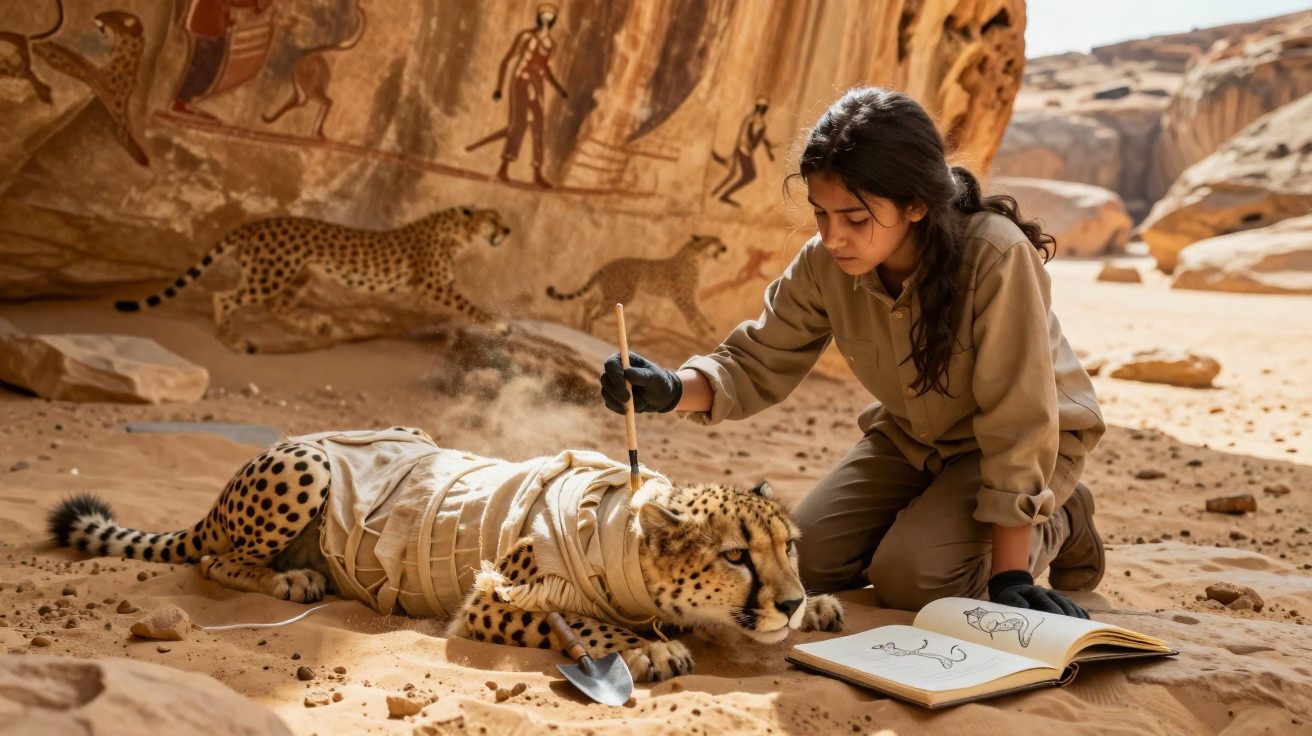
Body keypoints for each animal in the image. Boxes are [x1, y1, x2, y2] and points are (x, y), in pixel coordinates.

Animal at [32, 9, 148, 166]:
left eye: (111, 15)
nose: (95, 16)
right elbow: (74, 60)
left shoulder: (99, 77)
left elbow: (76, 59)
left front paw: (49, 48)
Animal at [48, 429, 845, 682]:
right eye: (737, 556)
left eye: (789, 547)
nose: (790, 599)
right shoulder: (492, 600)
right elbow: (588, 622)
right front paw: (643, 648)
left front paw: (820, 607)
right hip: (307, 466)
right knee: (215, 563)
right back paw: (292, 577)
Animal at [114, 206, 512, 353]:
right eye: (494, 218)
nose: (507, 230)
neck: (459, 231)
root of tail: (256, 224)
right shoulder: (432, 284)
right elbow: (470, 305)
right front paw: (499, 324)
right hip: (272, 273)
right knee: (225, 298)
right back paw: (232, 339)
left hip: (298, 272)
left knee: (276, 306)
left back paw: (317, 324)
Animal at [545, 234, 727, 337]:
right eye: (715, 241)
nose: (724, 247)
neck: (698, 256)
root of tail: (607, 266)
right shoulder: (680, 296)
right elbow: (690, 315)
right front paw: (701, 332)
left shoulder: (688, 296)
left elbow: (697, 312)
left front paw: (708, 328)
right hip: (622, 295)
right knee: (596, 312)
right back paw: (589, 330)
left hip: (608, 293)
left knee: (589, 304)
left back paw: (583, 328)